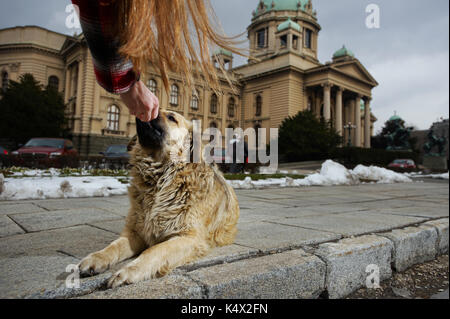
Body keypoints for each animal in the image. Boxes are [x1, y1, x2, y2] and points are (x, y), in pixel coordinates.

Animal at [78, 110, 239, 290]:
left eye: (171, 118)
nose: (145, 111)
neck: (160, 182)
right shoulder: (136, 232)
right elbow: (114, 246)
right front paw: (96, 258)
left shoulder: (189, 238)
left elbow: (153, 251)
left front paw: (127, 271)